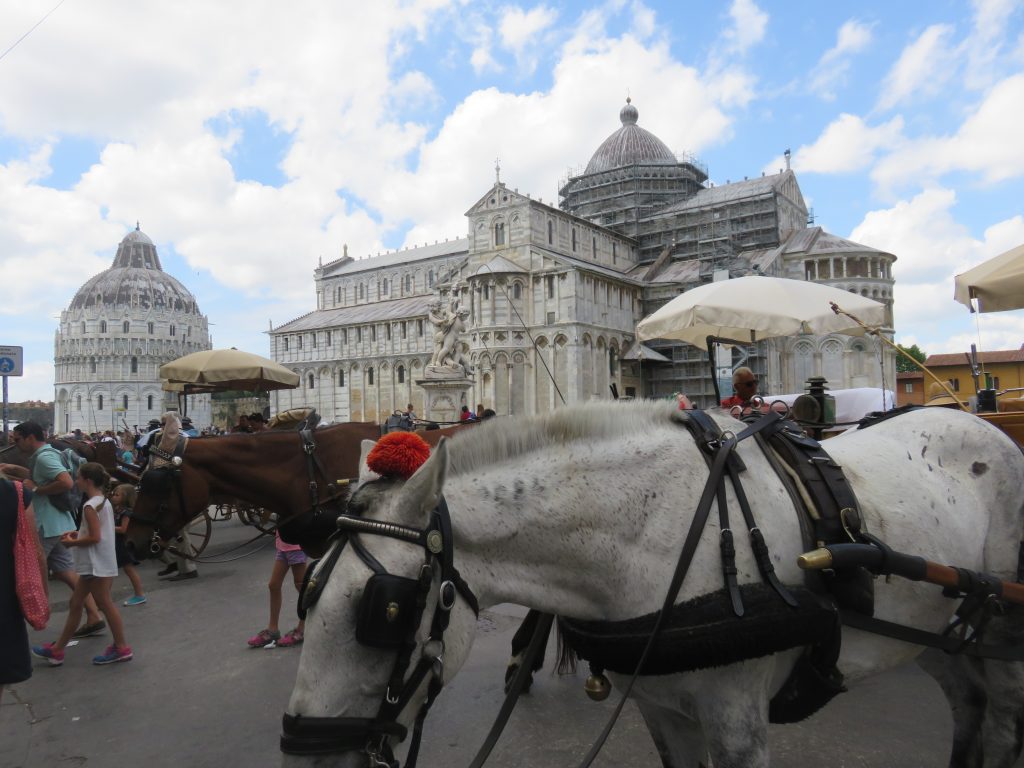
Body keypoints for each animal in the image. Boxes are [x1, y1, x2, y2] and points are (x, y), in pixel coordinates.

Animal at [284, 403, 1024, 768]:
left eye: (385, 611)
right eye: (306, 592)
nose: (303, 757)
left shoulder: (738, 722)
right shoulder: (661, 709)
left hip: (1003, 635)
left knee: (1003, 728)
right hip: (935, 634)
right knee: (968, 706)